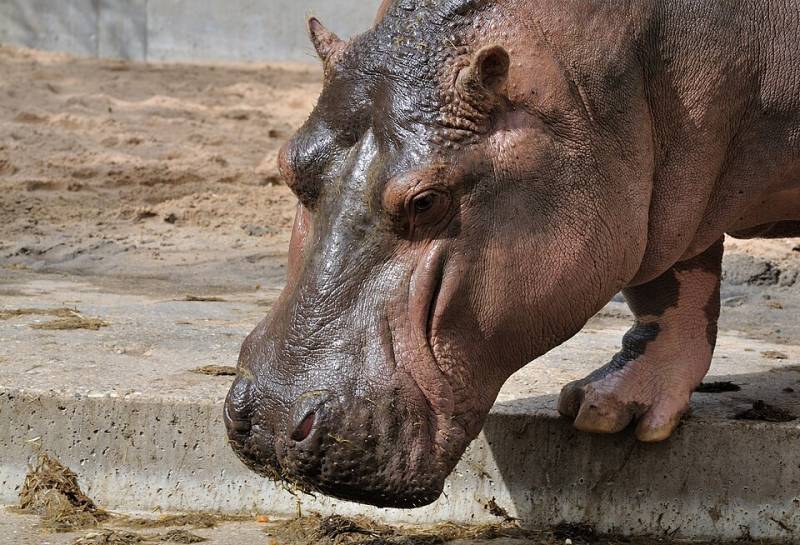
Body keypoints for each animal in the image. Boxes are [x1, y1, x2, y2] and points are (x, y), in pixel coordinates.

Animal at [224, 0, 800, 508]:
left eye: (426, 200)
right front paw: (604, 411)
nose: (272, 418)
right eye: (288, 163)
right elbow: (672, 288)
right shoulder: (670, 199)